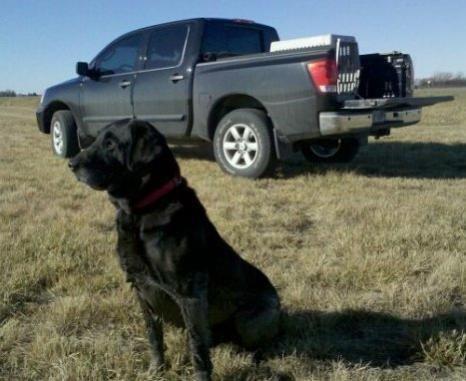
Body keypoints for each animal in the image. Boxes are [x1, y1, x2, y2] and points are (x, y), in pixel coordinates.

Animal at [68, 119, 280, 380]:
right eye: (97, 139)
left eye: (110, 144)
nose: (71, 163)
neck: (140, 212)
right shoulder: (141, 289)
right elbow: (154, 335)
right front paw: (156, 370)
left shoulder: (190, 295)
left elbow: (197, 348)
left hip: (252, 319)